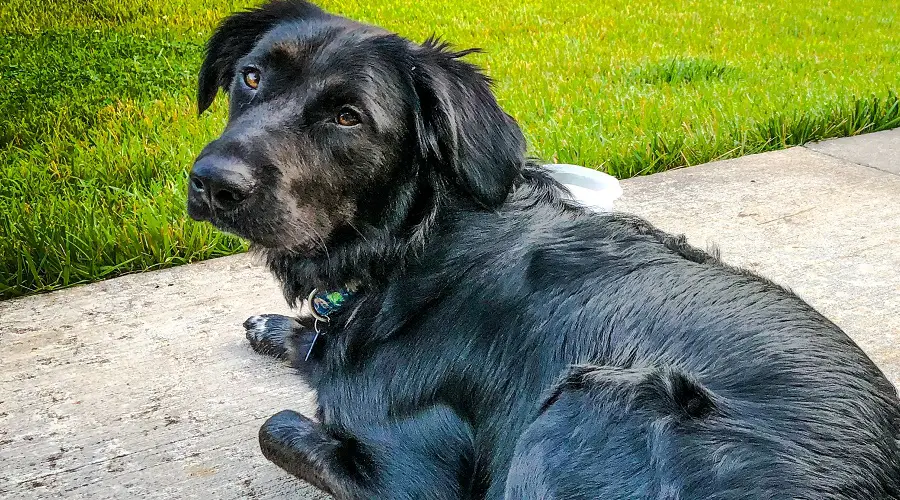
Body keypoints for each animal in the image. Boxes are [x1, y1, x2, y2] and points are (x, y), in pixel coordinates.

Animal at [186, 1, 896, 498]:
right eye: (251, 77)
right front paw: (277, 327)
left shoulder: (411, 481)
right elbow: (310, 347)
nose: (211, 181)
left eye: (348, 117)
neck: (412, 244)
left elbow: (278, 425)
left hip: (583, 408)